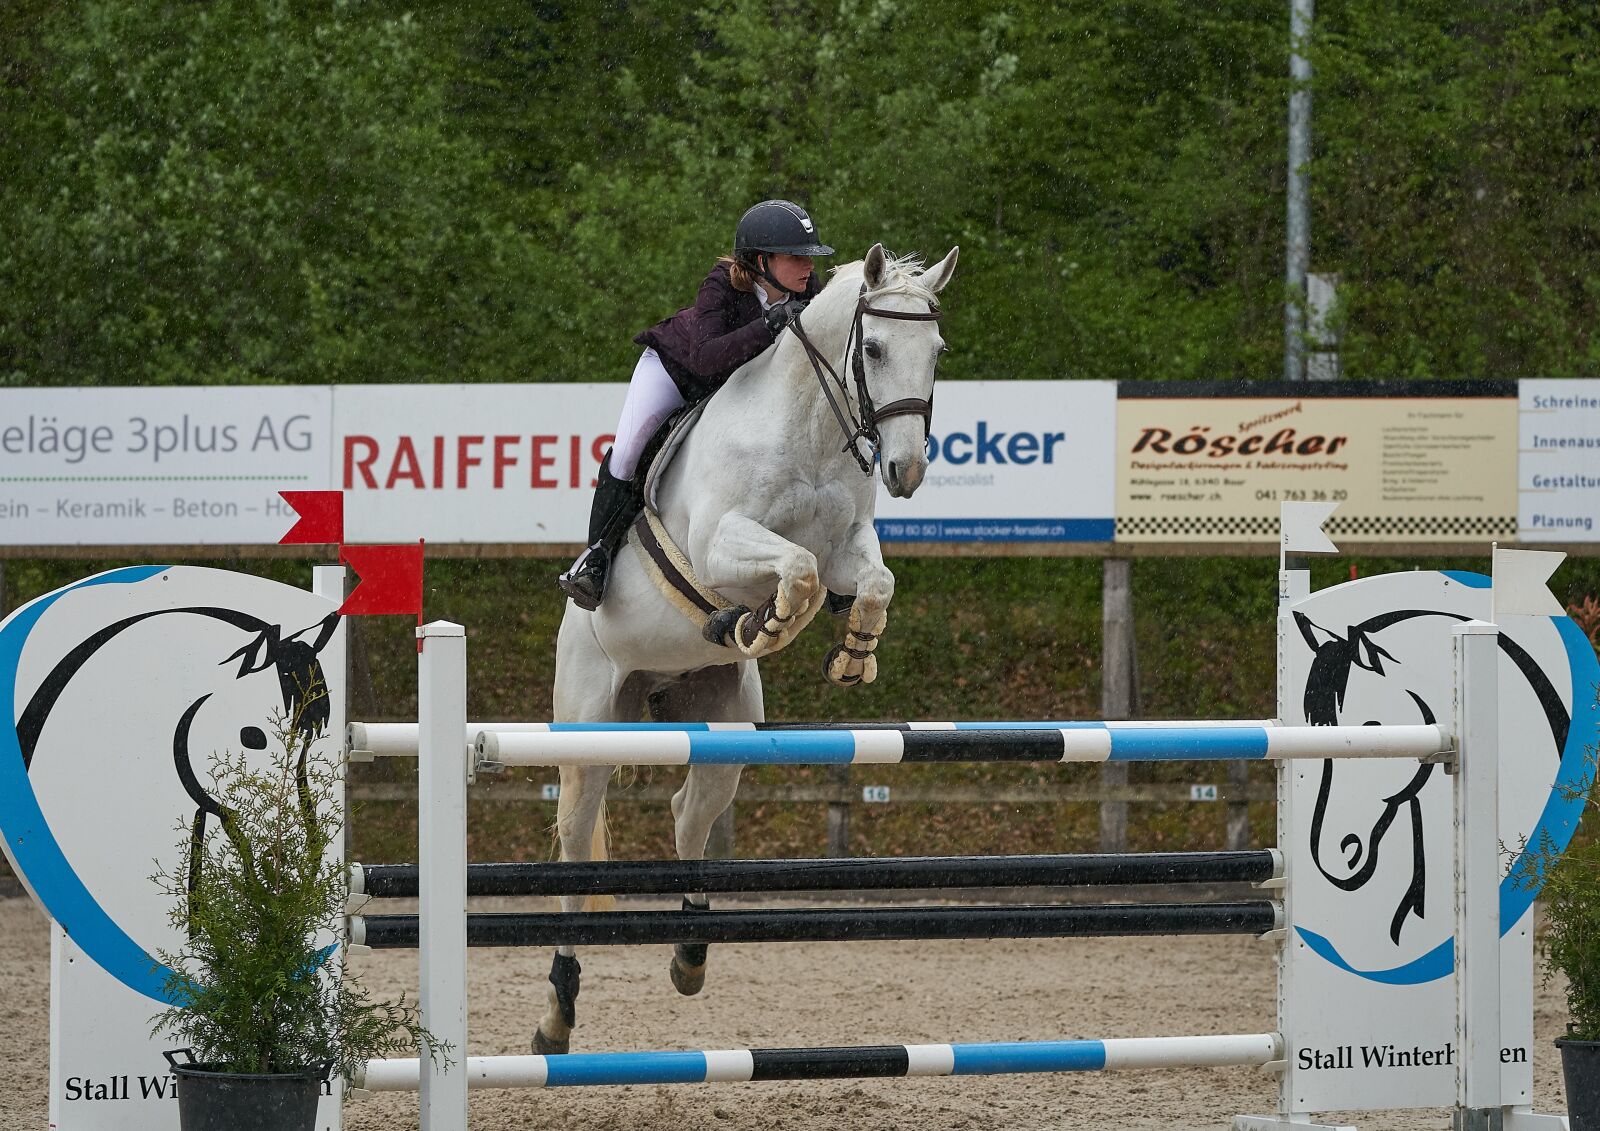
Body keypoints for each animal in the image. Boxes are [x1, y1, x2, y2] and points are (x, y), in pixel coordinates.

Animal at [537, 244, 953, 1055]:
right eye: (875, 348)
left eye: (938, 352)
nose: (907, 471)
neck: (810, 430)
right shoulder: (719, 545)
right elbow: (800, 571)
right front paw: (765, 622)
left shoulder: (850, 543)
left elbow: (868, 580)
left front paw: (851, 651)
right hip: (588, 725)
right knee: (573, 845)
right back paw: (557, 1014)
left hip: (720, 726)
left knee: (689, 814)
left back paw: (691, 955)